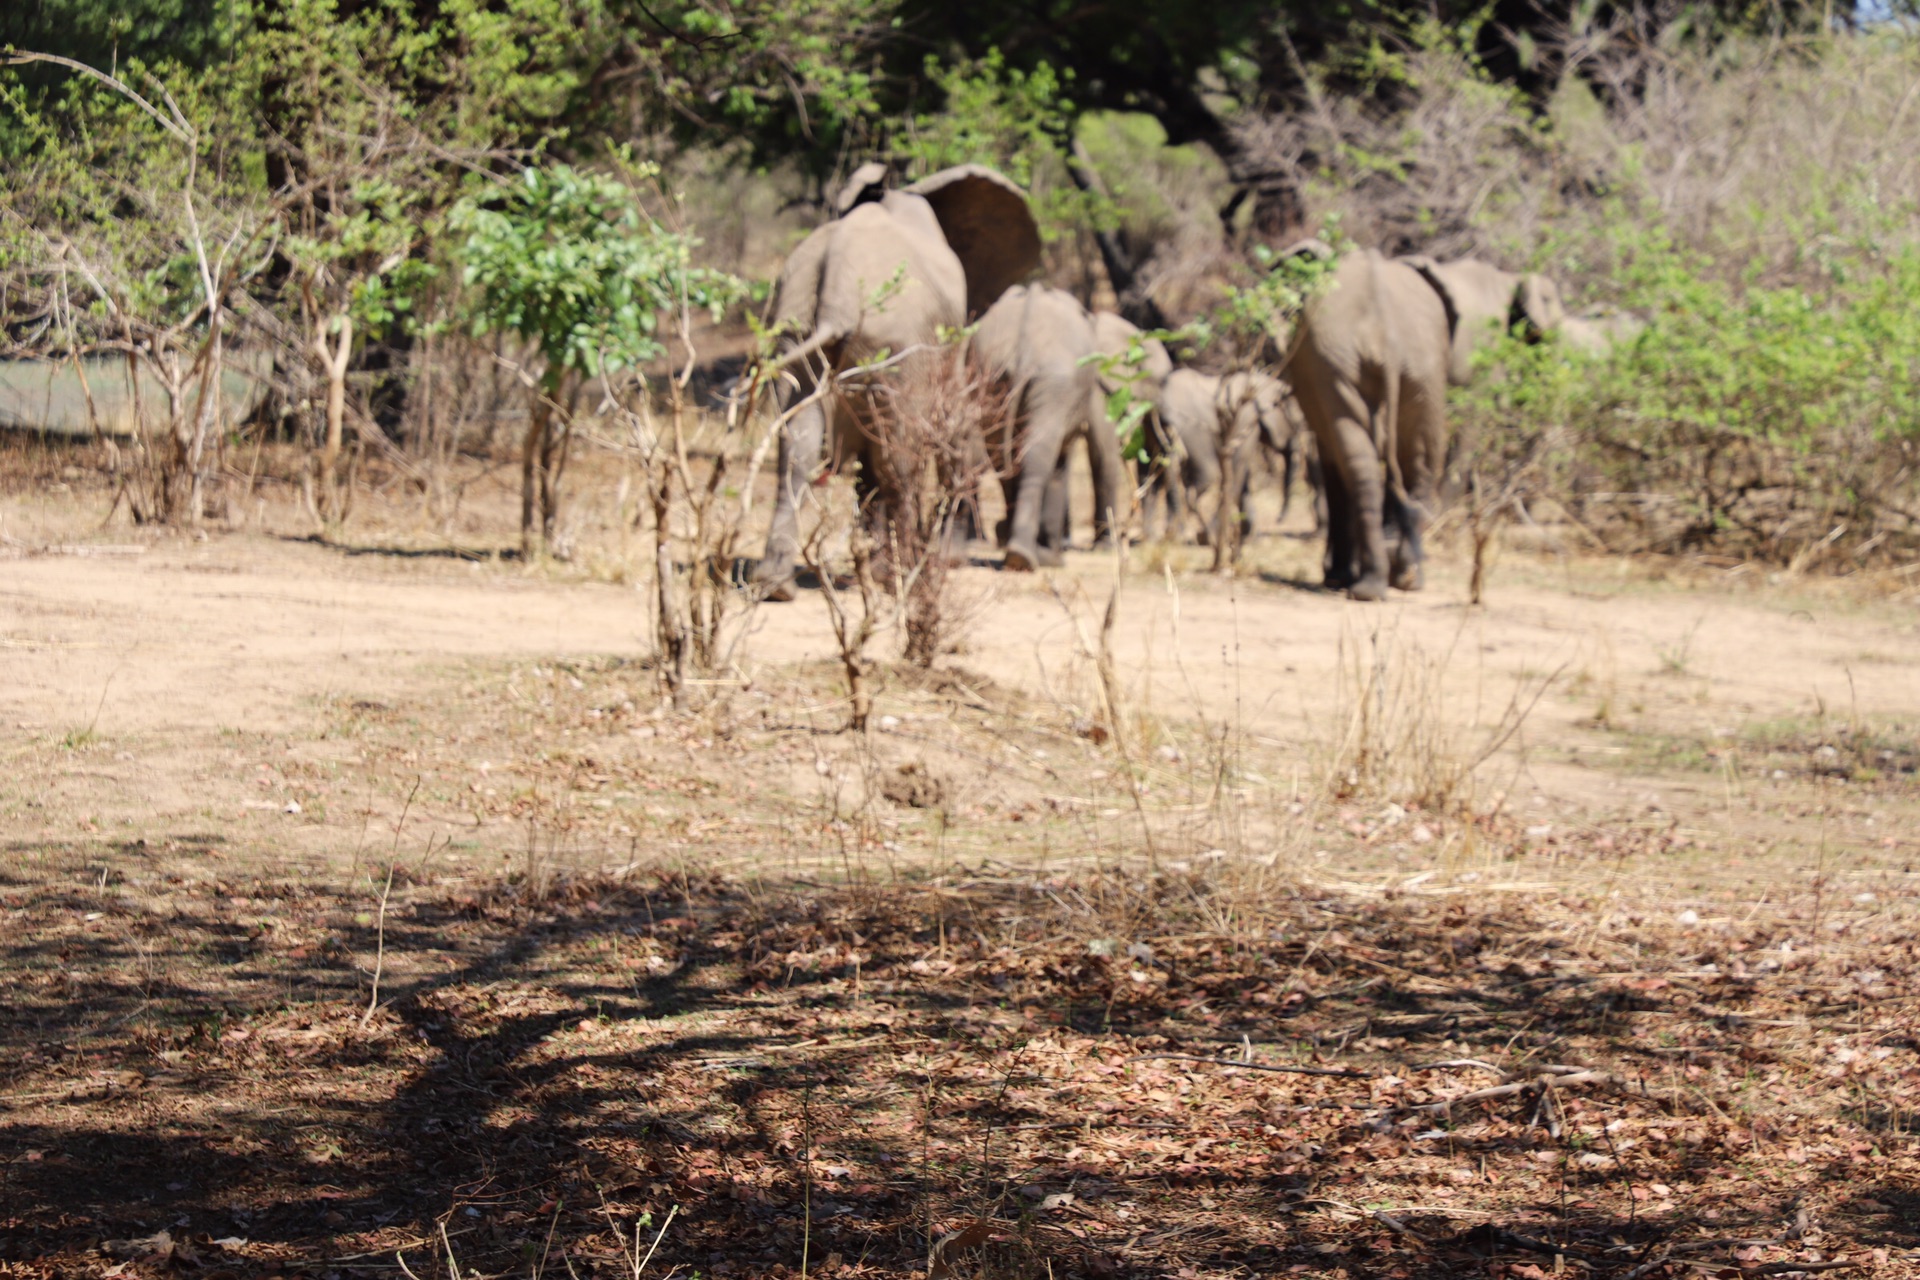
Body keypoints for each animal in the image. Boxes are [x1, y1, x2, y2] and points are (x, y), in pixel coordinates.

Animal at [752, 163, 1052, 598]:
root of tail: (837, 287)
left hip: (793, 324)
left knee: (798, 446)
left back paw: (775, 586)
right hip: (894, 344)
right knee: (898, 459)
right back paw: (904, 578)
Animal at [967, 289, 1128, 575]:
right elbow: (1064, 462)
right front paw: (1053, 555)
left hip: (991, 376)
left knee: (1005, 458)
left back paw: (1016, 553)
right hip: (1054, 380)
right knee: (1039, 460)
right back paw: (1032, 557)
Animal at [1282, 247, 1443, 602]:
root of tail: (1385, 334)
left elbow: (1331, 461)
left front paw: (1335, 577)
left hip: (1338, 366)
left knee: (1358, 463)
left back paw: (1365, 586)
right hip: (1420, 371)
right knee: (1418, 462)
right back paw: (1404, 578)